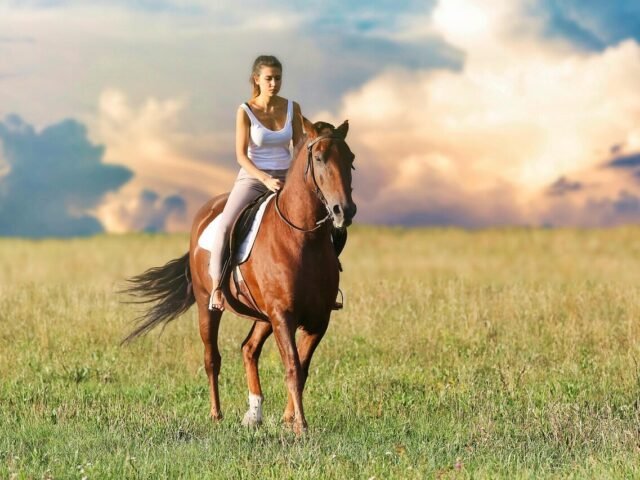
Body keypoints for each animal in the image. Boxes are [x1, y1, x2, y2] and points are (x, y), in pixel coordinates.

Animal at [123, 118, 356, 434]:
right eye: (319, 158)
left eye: (351, 158)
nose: (344, 210)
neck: (303, 238)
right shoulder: (283, 315)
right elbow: (293, 367)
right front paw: (300, 425)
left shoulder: (318, 319)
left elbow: (302, 367)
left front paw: (289, 419)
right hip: (208, 306)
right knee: (212, 358)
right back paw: (216, 414)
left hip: (263, 316)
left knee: (249, 349)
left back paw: (254, 414)